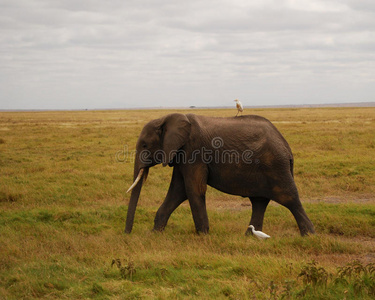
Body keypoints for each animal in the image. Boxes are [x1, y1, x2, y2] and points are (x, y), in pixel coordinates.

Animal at [125, 113, 316, 237]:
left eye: (144, 145)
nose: (127, 233)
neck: (166, 118)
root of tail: (287, 147)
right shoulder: (180, 155)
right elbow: (177, 191)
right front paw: (155, 234)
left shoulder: (194, 151)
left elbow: (193, 190)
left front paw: (203, 236)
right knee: (259, 202)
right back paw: (248, 236)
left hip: (276, 166)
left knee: (289, 198)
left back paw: (309, 235)